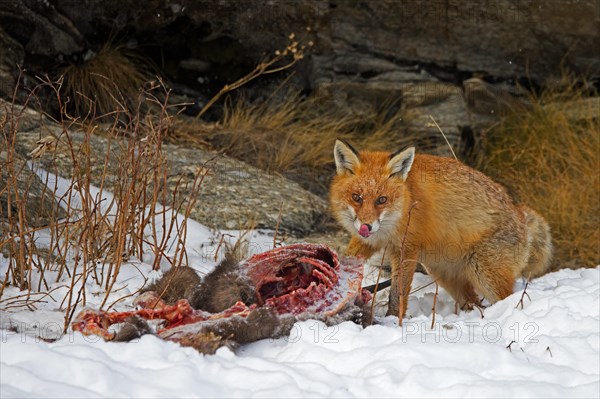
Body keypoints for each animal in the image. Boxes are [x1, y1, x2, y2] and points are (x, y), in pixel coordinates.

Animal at [330, 140, 552, 318]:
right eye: (357, 197)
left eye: (381, 200)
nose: (366, 226)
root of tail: (519, 212)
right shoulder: (369, 241)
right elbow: (349, 259)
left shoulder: (406, 249)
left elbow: (398, 293)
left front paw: (393, 320)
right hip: (446, 275)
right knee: (473, 302)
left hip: (483, 273)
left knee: (507, 298)